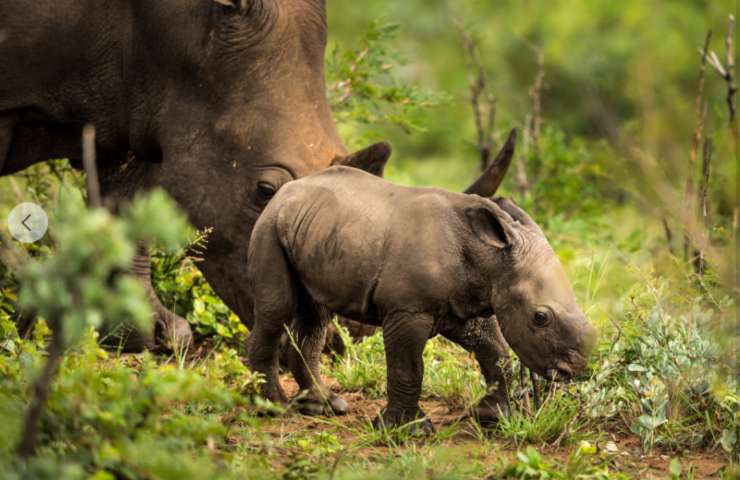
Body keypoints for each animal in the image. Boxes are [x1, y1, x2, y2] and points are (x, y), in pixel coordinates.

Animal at [246, 132, 600, 432]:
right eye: (540, 318)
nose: (574, 370)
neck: (491, 258)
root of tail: (287, 189)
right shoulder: (408, 309)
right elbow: (408, 366)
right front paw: (405, 429)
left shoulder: (467, 300)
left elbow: (496, 352)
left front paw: (492, 416)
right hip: (269, 224)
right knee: (278, 309)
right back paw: (273, 408)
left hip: (314, 227)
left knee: (316, 313)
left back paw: (326, 406)